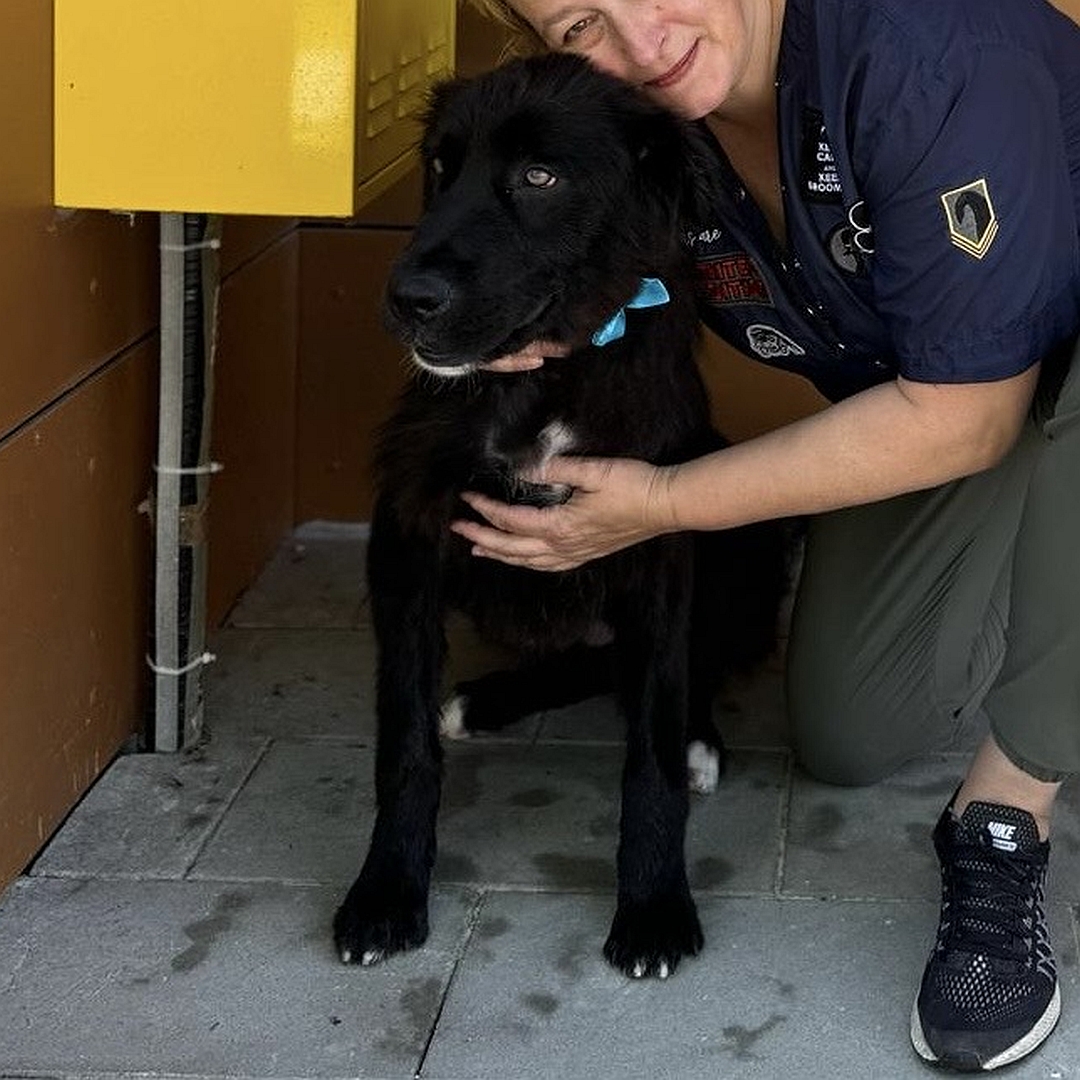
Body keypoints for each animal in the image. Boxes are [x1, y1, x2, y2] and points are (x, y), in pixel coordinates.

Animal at [330, 52, 786, 980]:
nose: (406, 297)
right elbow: (405, 744)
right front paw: (386, 892)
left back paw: (699, 740)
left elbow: (650, 747)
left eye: (539, 178)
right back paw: (488, 699)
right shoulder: (406, 541)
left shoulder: (657, 546)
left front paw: (652, 906)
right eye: (441, 168)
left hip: (751, 537)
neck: (544, 383)